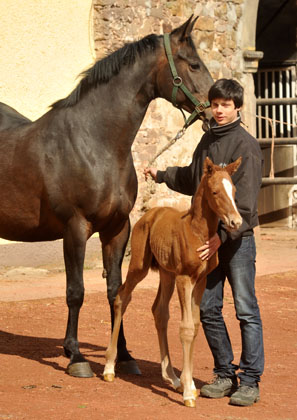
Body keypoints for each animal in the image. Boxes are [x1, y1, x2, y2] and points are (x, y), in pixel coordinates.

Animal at [0, 15, 213, 378]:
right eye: (194, 64)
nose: (213, 112)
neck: (96, 142)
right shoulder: (75, 228)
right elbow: (76, 291)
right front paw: (76, 356)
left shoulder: (117, 229)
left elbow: (117, 292)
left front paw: (123, 354)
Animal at [103, 158, 242, 406]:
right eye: (215, 192)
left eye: (234, 191)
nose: (236, 222)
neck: (197, 232)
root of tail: (150, 214)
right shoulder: (185, 278)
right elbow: (186, 328)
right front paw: (188, 393)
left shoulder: (200, 280)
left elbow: (195, 326)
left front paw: (189, 384)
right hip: (139, 266)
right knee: (121, 297)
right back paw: (109, 366)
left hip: (166, 274)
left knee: (159, 311)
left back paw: (172, 378)